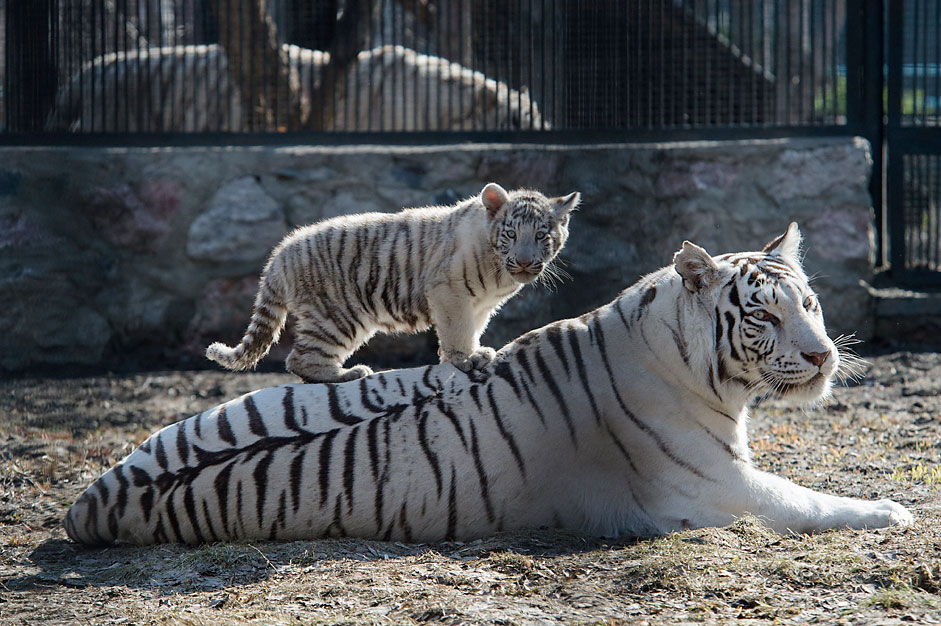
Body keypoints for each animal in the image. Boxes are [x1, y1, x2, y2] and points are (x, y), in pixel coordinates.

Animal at [64, 223, 912, 540]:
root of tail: (87, 500)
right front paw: (893, 510)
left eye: (807, 304)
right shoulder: (720, 489)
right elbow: (811, 501)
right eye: (762, 316)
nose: (822, 358)